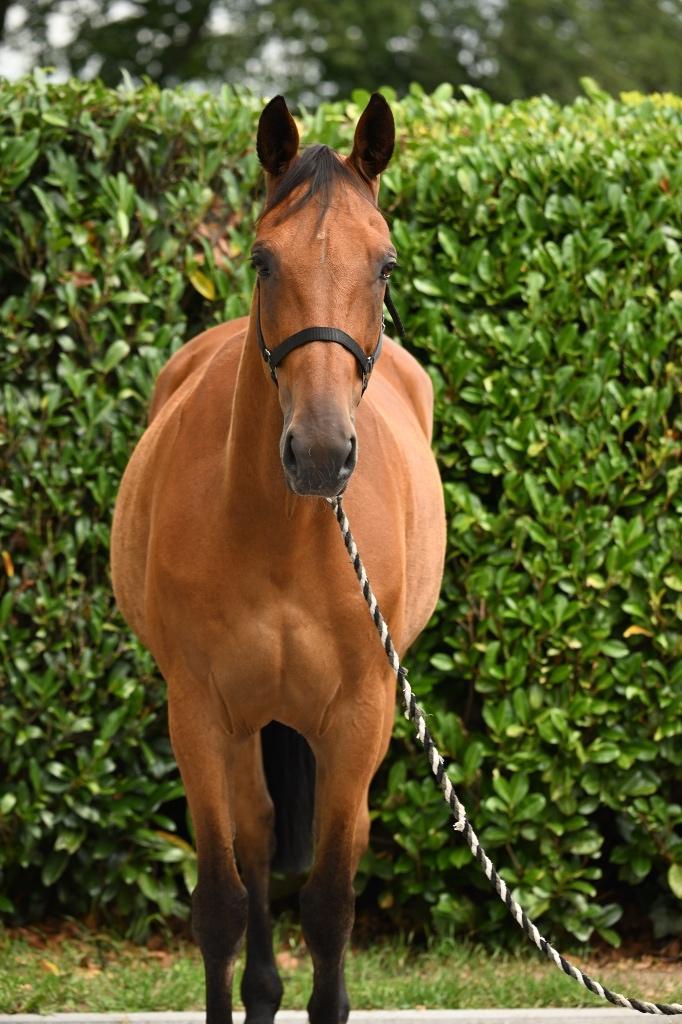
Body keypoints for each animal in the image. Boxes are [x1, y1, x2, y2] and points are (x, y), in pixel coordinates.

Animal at [111, 92, 446, 1024]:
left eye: (386, 266)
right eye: (263, 261)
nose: (322, 454)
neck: (282, 538)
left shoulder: (362, 716)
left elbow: (330, 904)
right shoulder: (197, 710)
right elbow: (222, 903)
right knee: (256, 838)